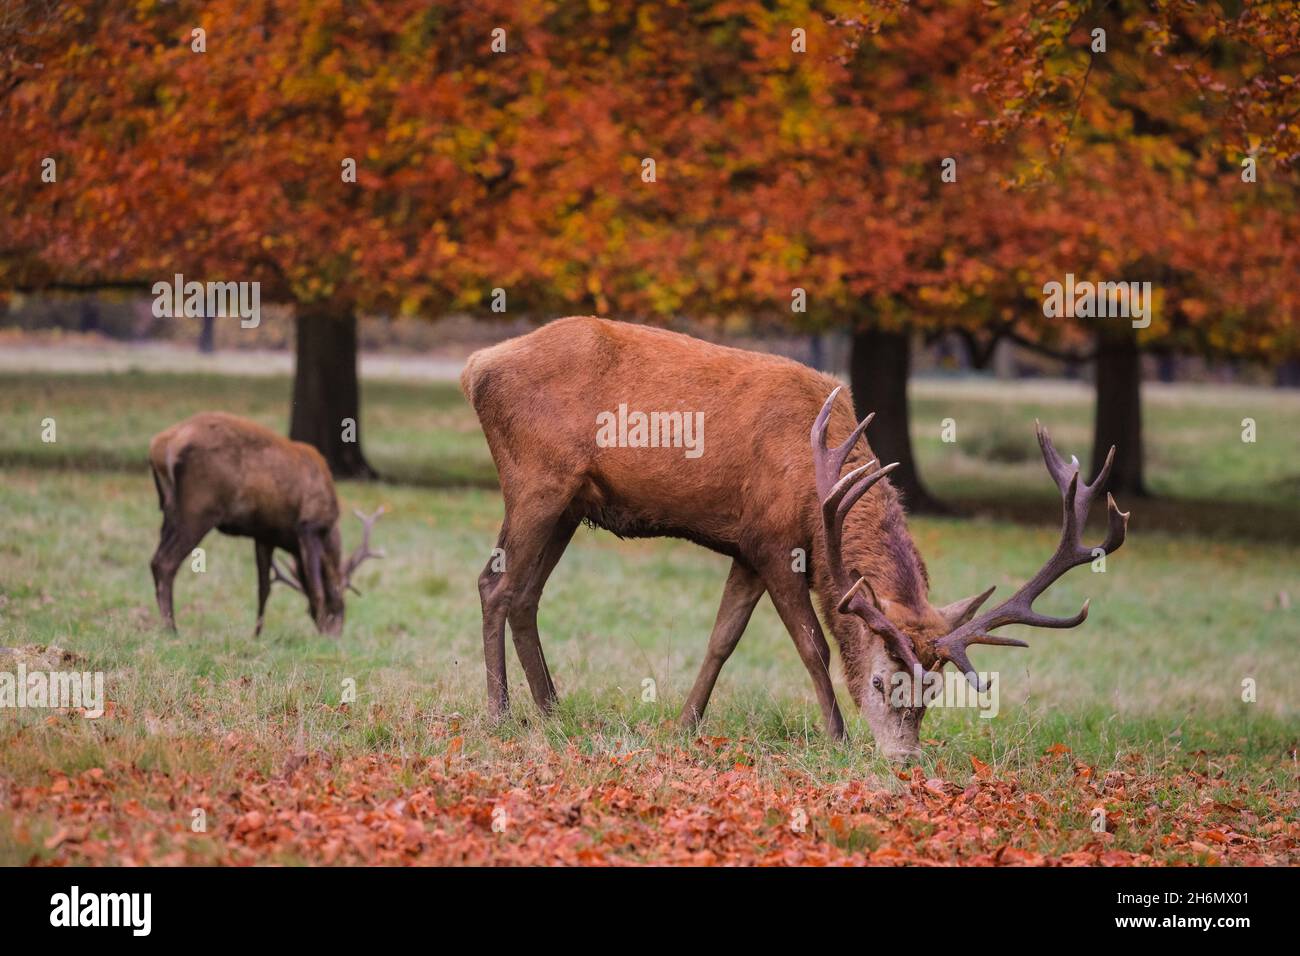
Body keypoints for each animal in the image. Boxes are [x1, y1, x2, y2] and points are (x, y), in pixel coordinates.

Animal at [146, 416, 382, 639]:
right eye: (340, 607)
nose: (334, 637)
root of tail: (161, 445)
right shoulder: (309, 526)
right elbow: (316, 590)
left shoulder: (265, 534)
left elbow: (264, 588)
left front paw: (256, 635)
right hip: (200, 508)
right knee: (165, 562)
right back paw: (171, 629)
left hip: (168, 508)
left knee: (156, 560)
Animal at [460, 317, 1128, 759]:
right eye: (882, 681)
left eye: (933, 691)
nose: (905, 759)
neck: (816, 494)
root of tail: (474, 367)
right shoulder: (775, 544)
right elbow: (814, 646)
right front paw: (837, 737)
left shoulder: (747, 550)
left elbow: (722, 639)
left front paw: (684, 725)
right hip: (535, 479)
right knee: (494, 584)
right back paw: (499, 714)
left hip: (571, 504)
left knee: (526, 595)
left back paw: (552, 709)